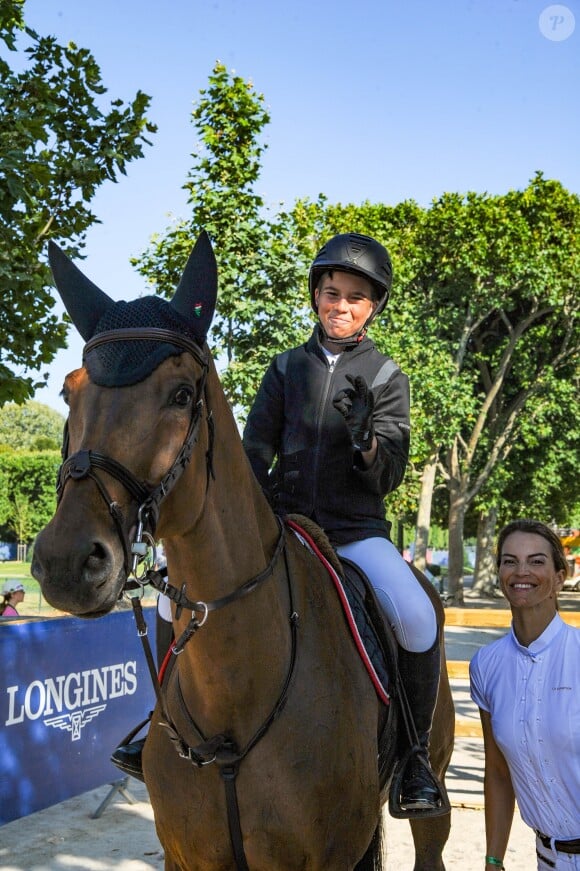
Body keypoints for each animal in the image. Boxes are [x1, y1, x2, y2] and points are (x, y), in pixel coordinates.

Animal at [34, 233, 456, 871]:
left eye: (182, 394)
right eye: (69, 390)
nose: (65, 564)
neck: (232, 698)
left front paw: (360, 424)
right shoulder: (188, 855)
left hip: (433, 801)